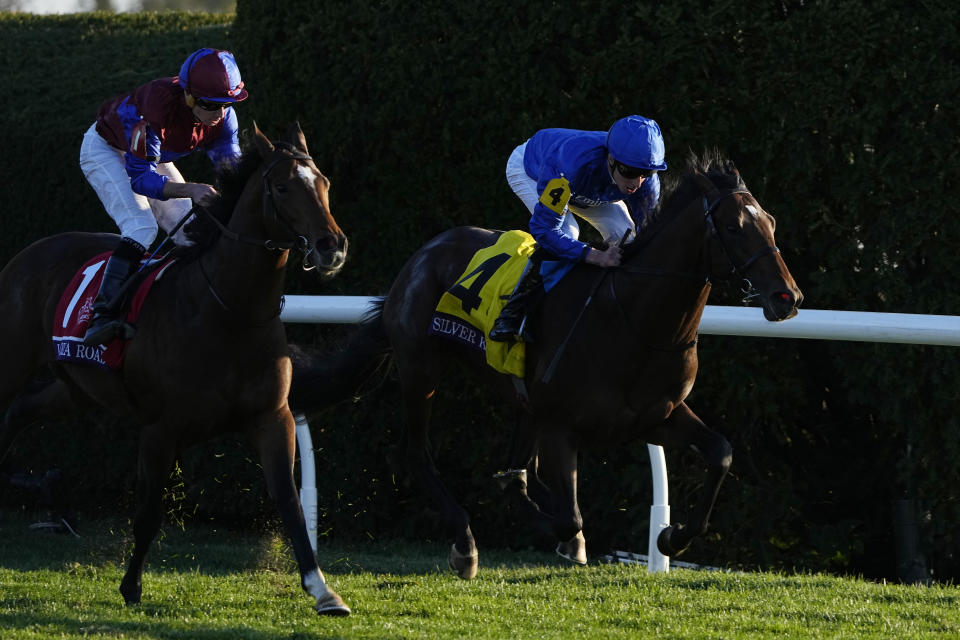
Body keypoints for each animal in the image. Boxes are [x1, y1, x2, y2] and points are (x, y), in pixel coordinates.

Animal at [0, 121, 352, 616]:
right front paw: (131, 586)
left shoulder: (273, 417)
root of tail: (27, 255)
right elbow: (149, 513)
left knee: (20, 412)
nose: (331, 247)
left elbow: (289, 501)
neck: (228, 309)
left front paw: (323, 591)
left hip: (74, 387)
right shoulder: (160, 428)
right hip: (13, 361)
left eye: (324, 183)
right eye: (283, 187)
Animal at [292, 151, 804, 580]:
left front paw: (671, 537)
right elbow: (568, 515)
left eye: (772, 222)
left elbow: (721, 452)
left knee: (516, 470)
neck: (633, 318)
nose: (788, 297)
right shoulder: (562, 426)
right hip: (421, 369)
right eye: (735, 227)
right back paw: (465, 543)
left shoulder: (655, 417)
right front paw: (564, 535)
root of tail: (419, 258)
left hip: (519, 400)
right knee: (417, 453)